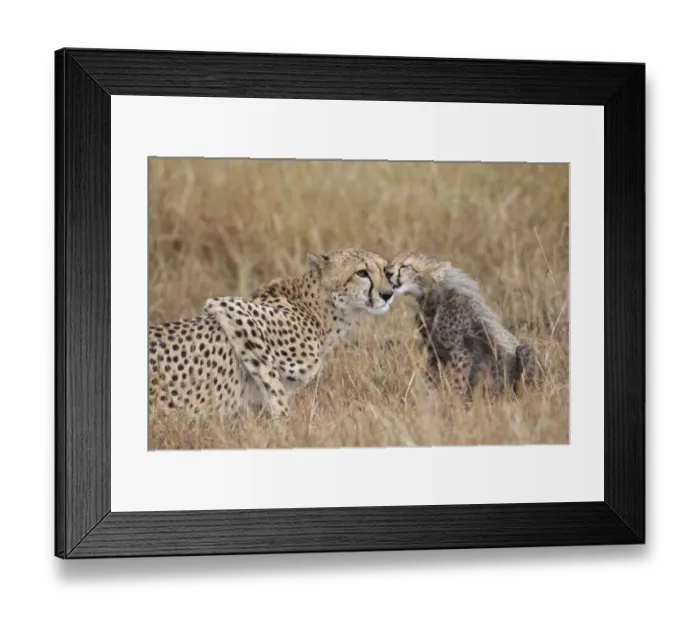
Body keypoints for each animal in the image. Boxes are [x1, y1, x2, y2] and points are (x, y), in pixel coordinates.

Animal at [148, 248, 395, 421]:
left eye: (386, 271)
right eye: (361, 273)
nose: (388, 293)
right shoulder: (231, 308)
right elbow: (272, 382)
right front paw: (285, 426)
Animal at [385, 250, 541, 405]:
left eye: (405, 266)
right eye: (392, 262)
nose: (387, 272)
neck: (431, 298)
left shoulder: (460, 353)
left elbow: (457, 382)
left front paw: (453, 404)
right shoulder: (434, 353)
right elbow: (430, 379)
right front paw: (426, 401)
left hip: (524, 352)